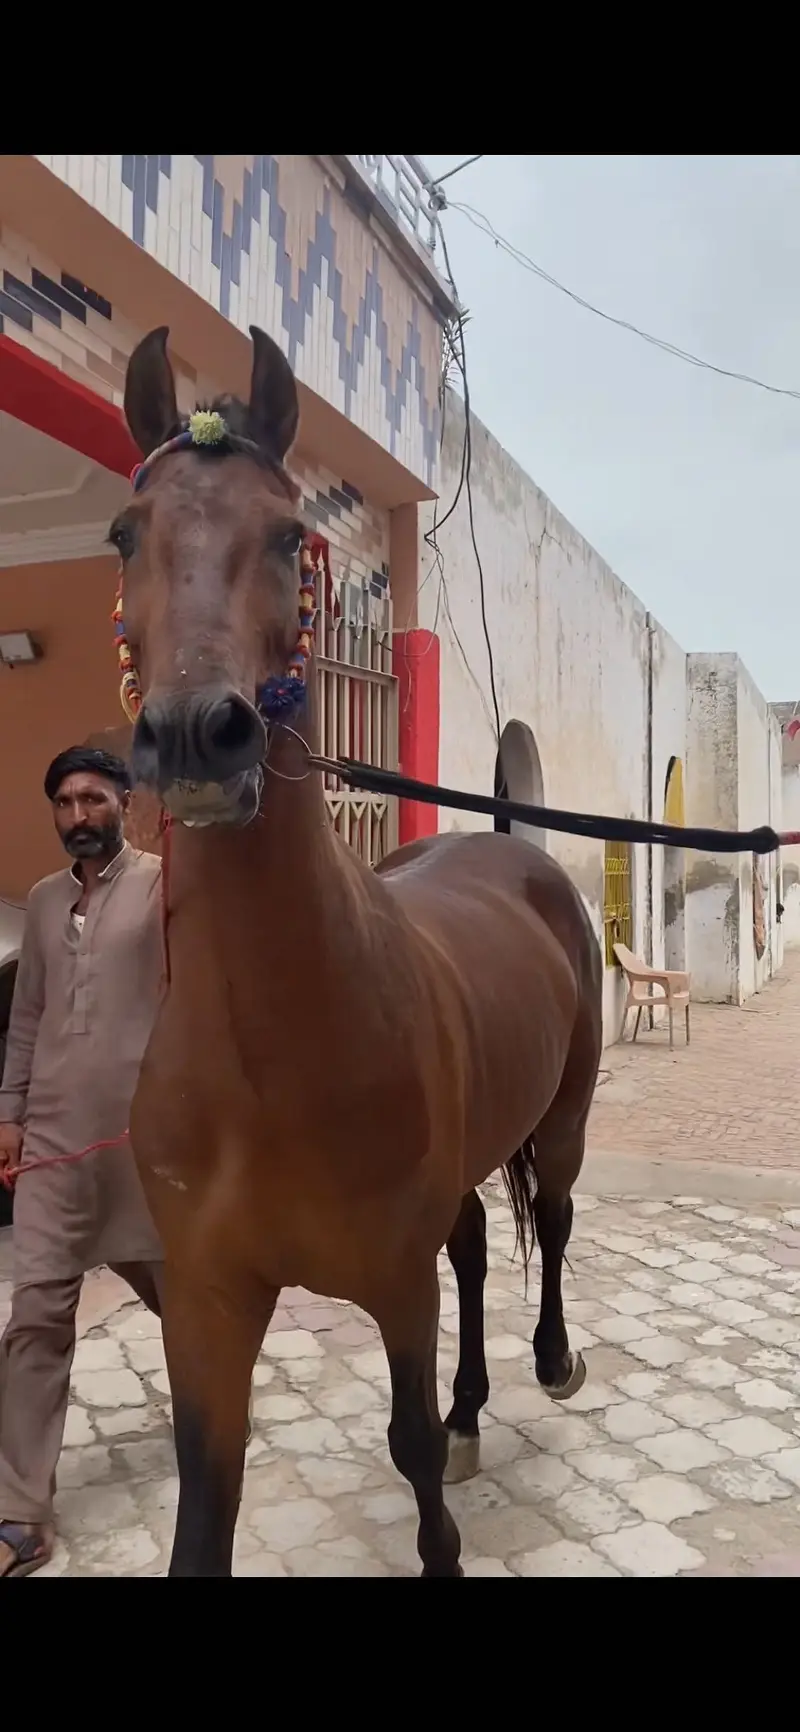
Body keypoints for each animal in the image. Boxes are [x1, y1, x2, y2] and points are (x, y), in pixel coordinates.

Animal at [116, 324, 604, 1578]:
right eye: (128, 532)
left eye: (290, 535)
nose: (194, 735)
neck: (265, 1062)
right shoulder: (206, 1301)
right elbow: (205, 1503)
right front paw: (456, 1417)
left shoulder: (390, 1277)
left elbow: (406, 1444)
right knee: (475, 1241)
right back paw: (476, 1404)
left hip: (562, 1113)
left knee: (551, 1216)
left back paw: (546, 1362)